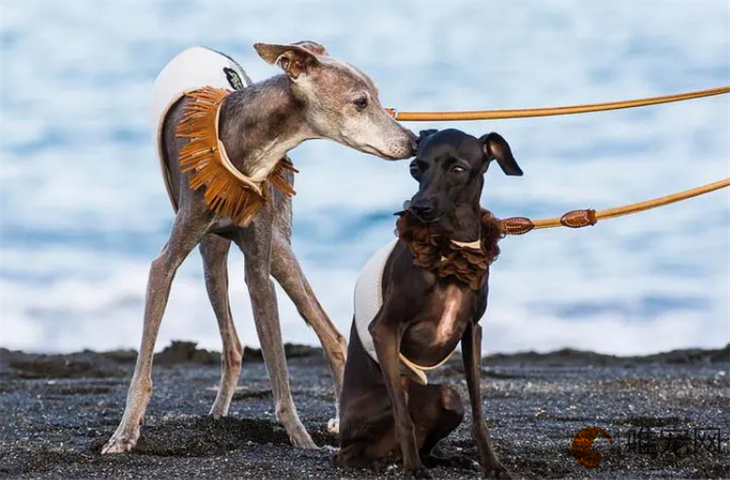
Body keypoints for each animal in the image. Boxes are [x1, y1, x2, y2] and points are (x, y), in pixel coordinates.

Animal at [101, 40, 416, 454]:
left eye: (377, 97)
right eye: (361, 102)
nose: (414, 141)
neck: (244, 143)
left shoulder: (259, 269)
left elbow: (279, 369)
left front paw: (300, 437)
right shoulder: (163, 266)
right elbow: (143, 371)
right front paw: (124, 435)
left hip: (277, 249)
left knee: (330, 334)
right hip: (212, 255)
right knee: (233, 345)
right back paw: (218, 414)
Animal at [338, 129, 520, 478]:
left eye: (458, 169)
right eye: (415, 168)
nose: (418, 207)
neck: (453, 245)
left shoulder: (472, 330)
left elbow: (479, 411)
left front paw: (491, 464)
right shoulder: (384, 328)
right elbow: (403, 418)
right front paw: (414, 469)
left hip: (449, 398)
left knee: (440, 418)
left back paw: (440, 459)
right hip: (374, 413)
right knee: (353, 449)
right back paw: (390, 461)